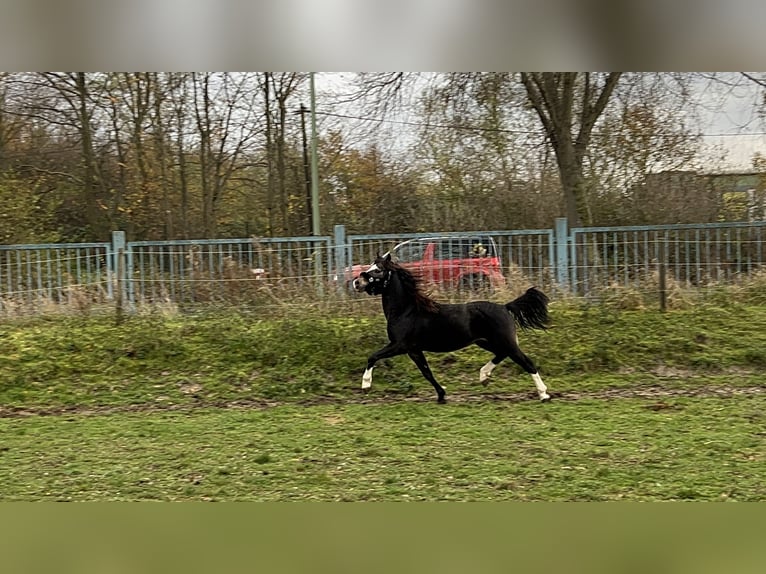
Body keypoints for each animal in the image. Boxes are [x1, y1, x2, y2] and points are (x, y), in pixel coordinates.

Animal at [354, 254, 552, 408]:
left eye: (378, 270)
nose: (357, 282)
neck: (406, 311)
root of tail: (505, 307)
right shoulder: (414, 350)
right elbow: (427, 372)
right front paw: (441, 395)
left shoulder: (400, 346)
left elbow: (372, 357)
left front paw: (366, 385)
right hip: (486, 342)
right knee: (501, 354)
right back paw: (484, 376)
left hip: (505, 342)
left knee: (527, 362)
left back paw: (544, 395)